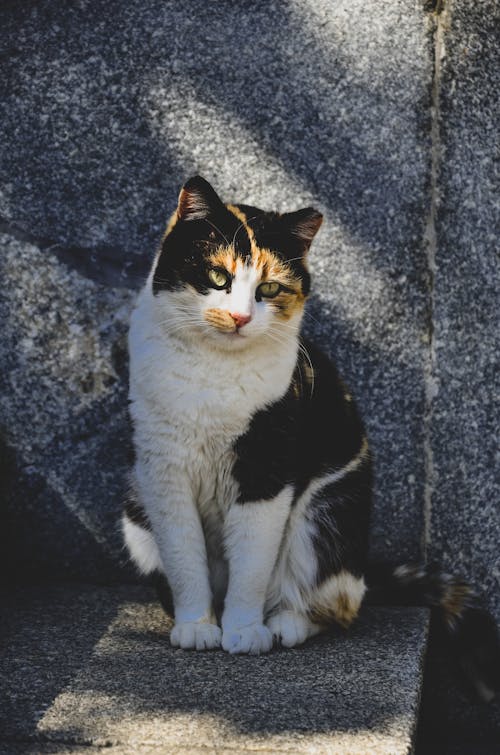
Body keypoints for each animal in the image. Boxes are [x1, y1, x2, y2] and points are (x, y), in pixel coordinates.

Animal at [122, 176, 500, 696]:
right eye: (218, 277)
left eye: (269, 288)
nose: (240, 318)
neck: (213, 371)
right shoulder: (162, 470)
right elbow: (184, 556)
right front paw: (197, 626)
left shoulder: (267, 469)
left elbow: (251, 561)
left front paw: (243, 630)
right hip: (134, 508)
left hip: (323, 515)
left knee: (335, 605)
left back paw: (284, 624)